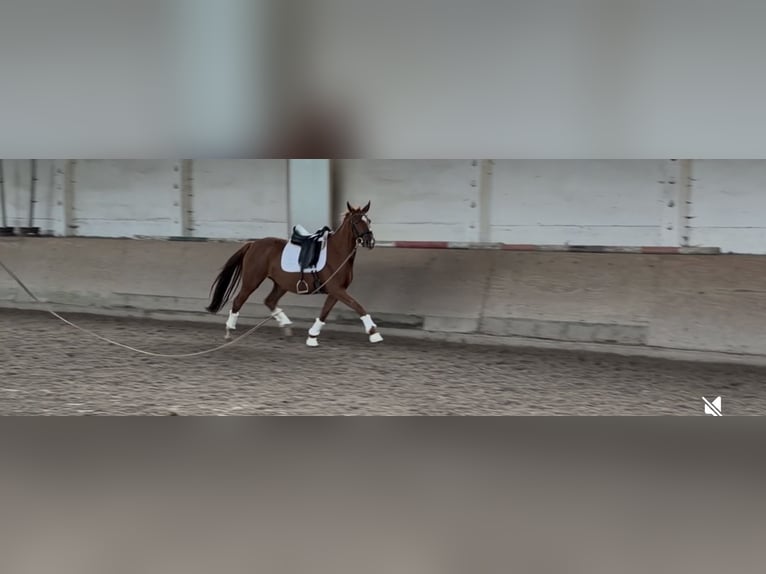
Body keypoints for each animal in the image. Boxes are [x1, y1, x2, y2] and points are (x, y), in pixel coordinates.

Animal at [205, 201, 382, 347]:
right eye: (356, 221)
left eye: (369, 221)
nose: (370, 242)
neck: (337, 252)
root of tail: (252, 244)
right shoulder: (336, 289)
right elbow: (357, 306)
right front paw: (374, 333)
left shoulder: (335, 291)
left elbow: (324, 313)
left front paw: (312, 337)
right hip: (252, 281)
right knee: (238, 301)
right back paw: (229, 331)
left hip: (281, 284)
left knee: (270, 301)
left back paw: (286, 326)